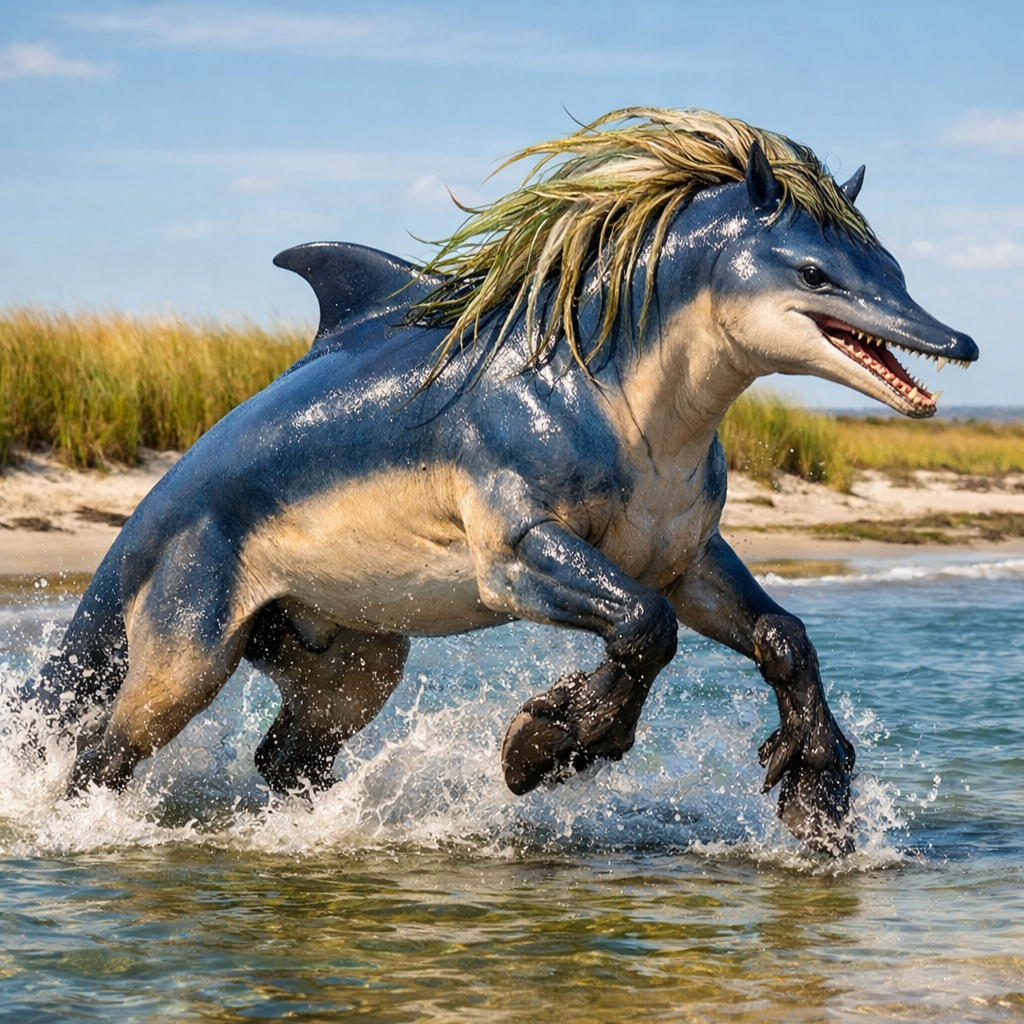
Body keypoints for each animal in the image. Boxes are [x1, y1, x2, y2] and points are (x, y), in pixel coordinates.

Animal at [24, 108, 977, 855]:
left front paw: (818, 791)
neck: (620, 397)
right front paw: (550, 743)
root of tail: (142, 527)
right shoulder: (515, 547)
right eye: (815, 274)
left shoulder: (686, 552)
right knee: (104, 753)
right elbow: (644, 623)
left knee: (286, 758)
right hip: (185, 644)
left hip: (348, 651)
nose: (957, 341)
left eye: (895, 270)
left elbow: (778, 633)